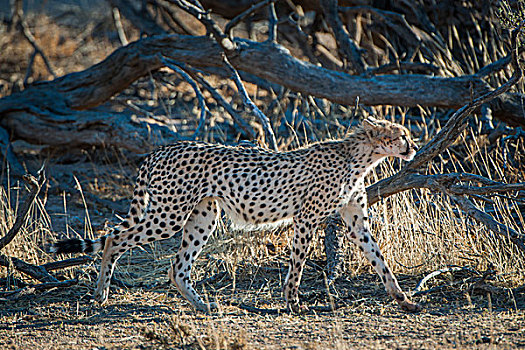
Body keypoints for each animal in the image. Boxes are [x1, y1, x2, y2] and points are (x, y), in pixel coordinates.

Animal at [48, 116, 418, 314]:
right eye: (401, 135)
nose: (414, 147)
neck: (360, 157)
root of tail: (162, 148)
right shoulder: (305, 218)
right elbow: (298, 265)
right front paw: (293, 302)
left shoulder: (356, 220)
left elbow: (379, 258)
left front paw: (403, 299)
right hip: (169, 213)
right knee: (115, 238)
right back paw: (100, 294)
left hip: (202, 216)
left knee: (177, 266)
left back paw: (203, 306)